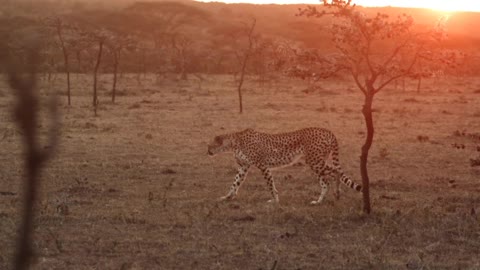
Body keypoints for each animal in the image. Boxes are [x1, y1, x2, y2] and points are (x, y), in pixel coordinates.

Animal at [206, 127, 360, 204]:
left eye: (210, 145)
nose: (207, 151)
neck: (234, 142)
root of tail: (328, 131)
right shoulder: (244, 167)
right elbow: (235, 183)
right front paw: (227, 197)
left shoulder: (263, 165)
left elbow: (270, 184)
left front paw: (274, 200)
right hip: (318, 161)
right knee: (327, 180)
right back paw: (319, 201)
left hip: (314, 161)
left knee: (334, 173)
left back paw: (337, 194)